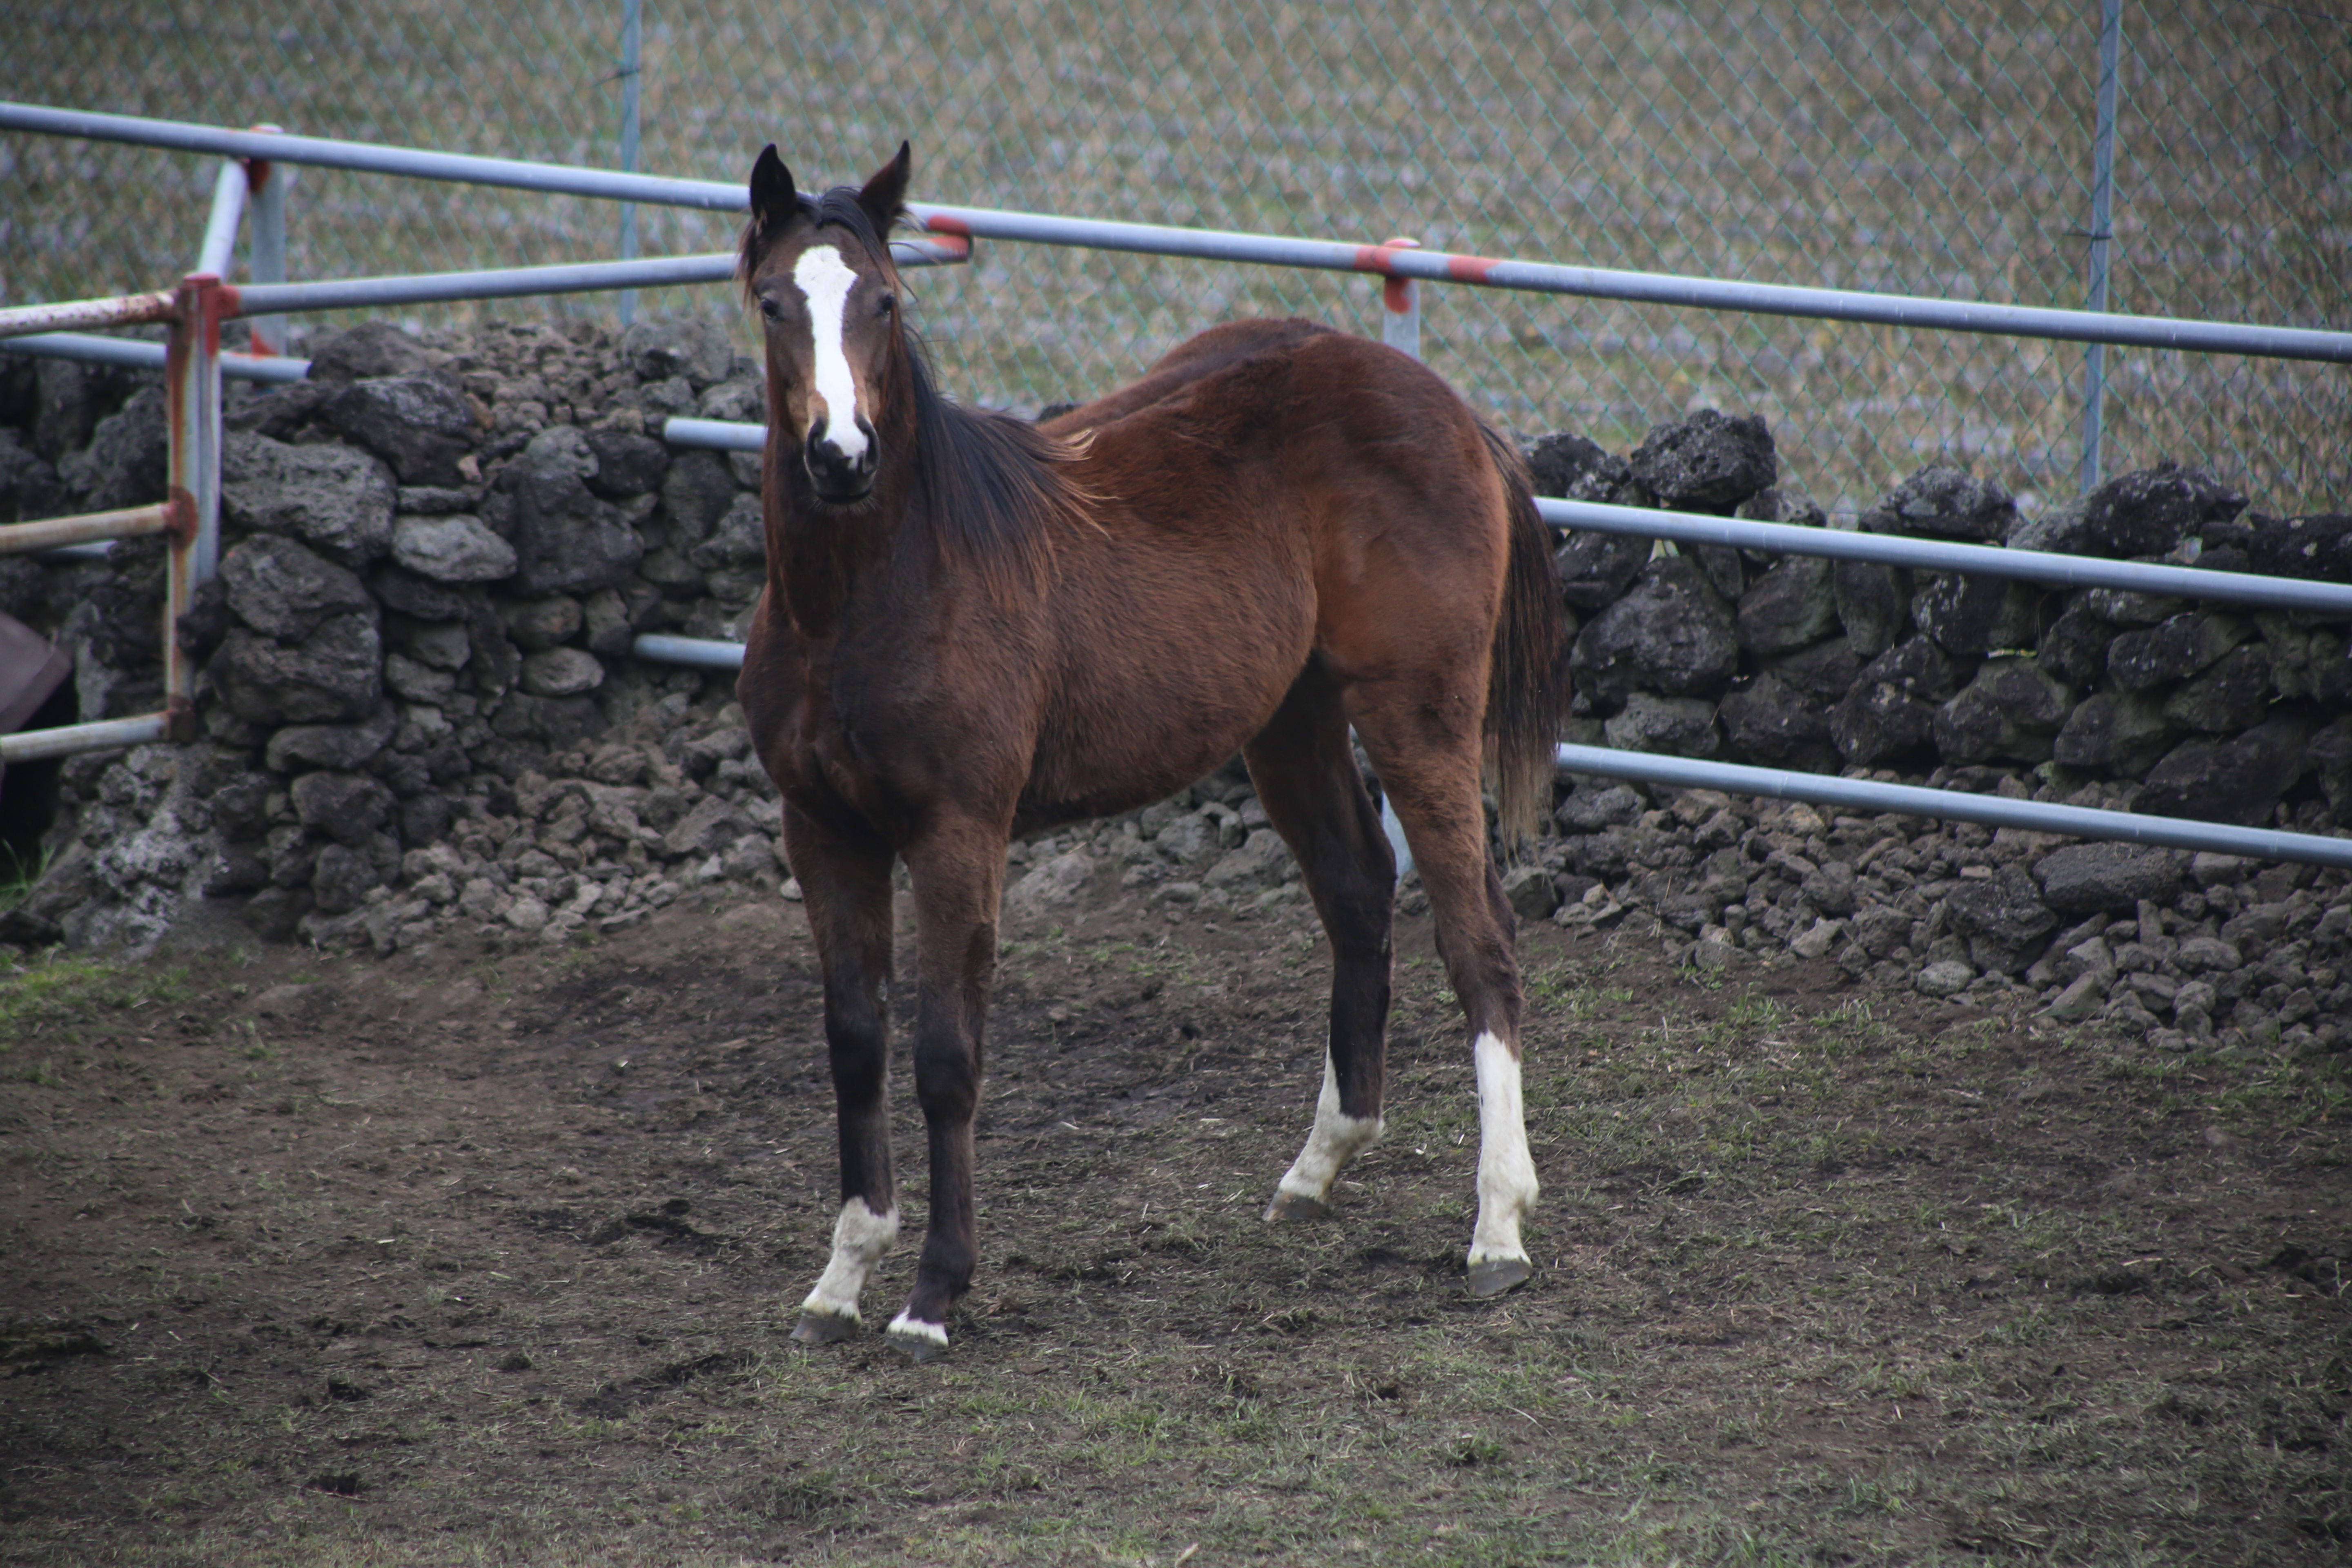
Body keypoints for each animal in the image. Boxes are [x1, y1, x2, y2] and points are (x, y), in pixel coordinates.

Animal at [743, 144, 1571, 1363]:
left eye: (884, 301)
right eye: (771, 303)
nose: (842, 458)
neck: (875, 591)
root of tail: (1453, 410)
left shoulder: (958, 834)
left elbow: (946, 1055)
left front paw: (933, 1295)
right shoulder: (823, 831)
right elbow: (854, 1043)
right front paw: (840, 1278)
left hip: (1418, 716)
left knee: (1481, 942)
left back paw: (1497, 1230)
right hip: (1290, 721)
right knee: (1358, 894)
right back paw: (1317, 1169)